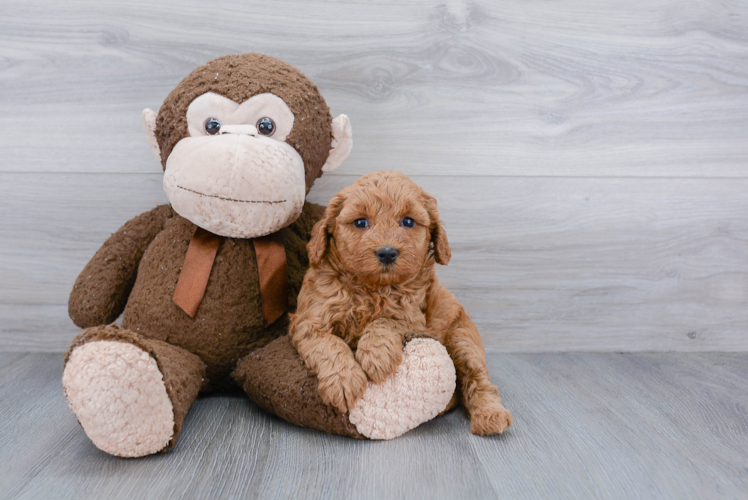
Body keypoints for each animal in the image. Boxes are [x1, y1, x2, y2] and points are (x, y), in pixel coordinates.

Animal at [290, 169, 512, 434]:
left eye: (408, 221)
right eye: (360, 222)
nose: (387, 252)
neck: (373, 288)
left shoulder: (415, 320)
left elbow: (385, 321)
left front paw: (376, 357)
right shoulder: (310, 321)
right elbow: (329, 345)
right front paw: (344, 382)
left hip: (463, 338)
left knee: (477, 379)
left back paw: (490, 415)